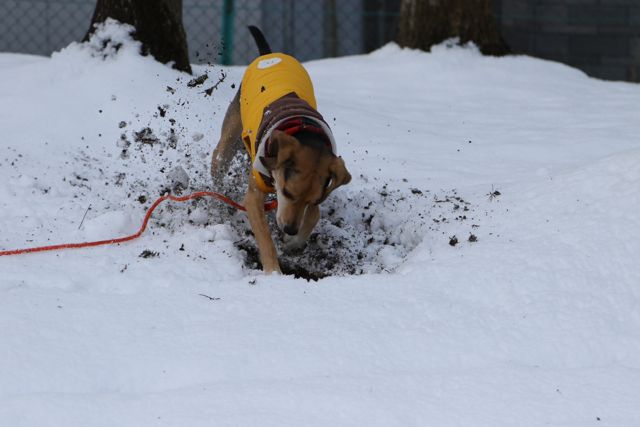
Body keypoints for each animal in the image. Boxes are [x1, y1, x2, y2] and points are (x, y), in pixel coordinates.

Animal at [210, 25, 350, 274]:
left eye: (311, 200)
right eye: (287, 193)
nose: (290, 229)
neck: (305, 131)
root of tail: (268, 55)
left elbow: (315, 215)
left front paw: (294, 242)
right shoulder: (254, 196)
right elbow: (264, 236)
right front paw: (273, 271)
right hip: (230, 136)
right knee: (218, 160)